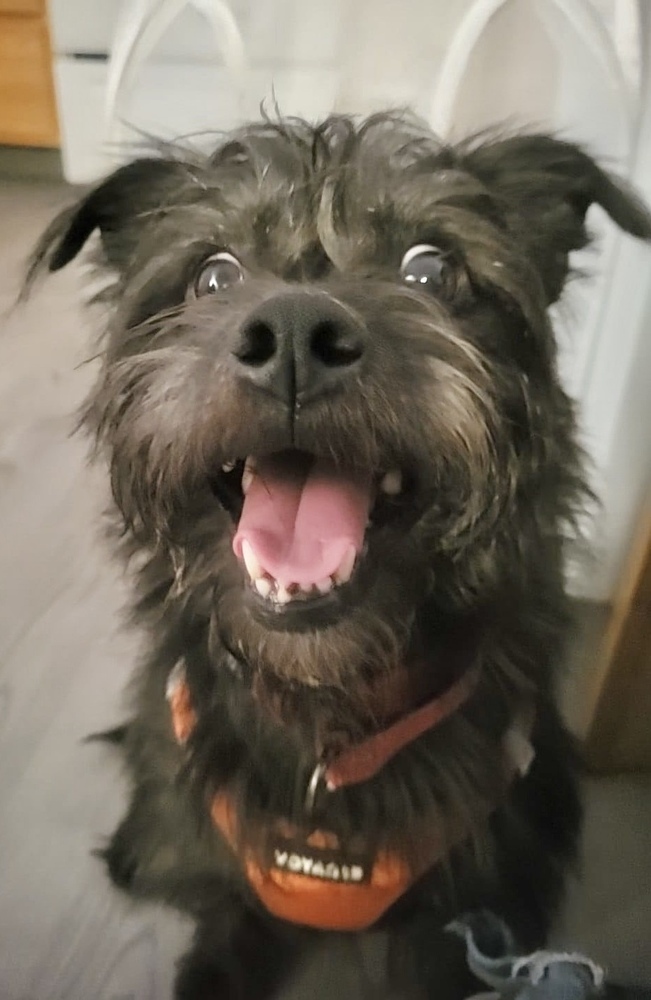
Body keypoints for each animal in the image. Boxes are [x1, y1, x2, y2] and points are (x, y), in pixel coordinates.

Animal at [26, 117, 651, 1000]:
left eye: (432, 267)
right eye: (213, 275)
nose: (292, 334)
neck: (326, 713)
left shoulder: (464, 913)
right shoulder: (225, 878)